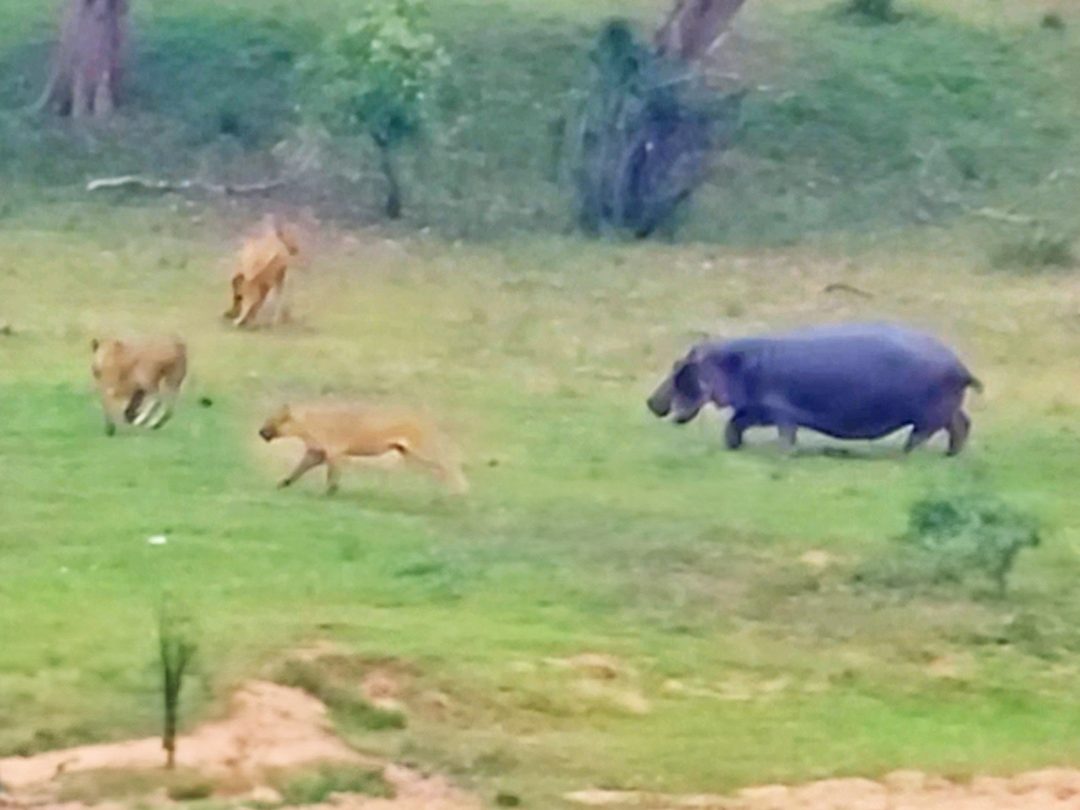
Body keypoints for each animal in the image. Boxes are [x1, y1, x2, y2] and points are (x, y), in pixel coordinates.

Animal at [643, 326, 984, 460]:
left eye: (679, 367)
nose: (650, 401)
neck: (731, 363)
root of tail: (960, 365)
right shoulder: (756, 408)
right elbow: (734, 424)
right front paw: (734, 447)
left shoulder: (780, 411)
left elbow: (785, 433)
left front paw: (784, 454)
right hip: (948, 408)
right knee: (961, 424)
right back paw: (950, 455)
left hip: (929, 412)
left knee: (924, 433)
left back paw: (902, 454)